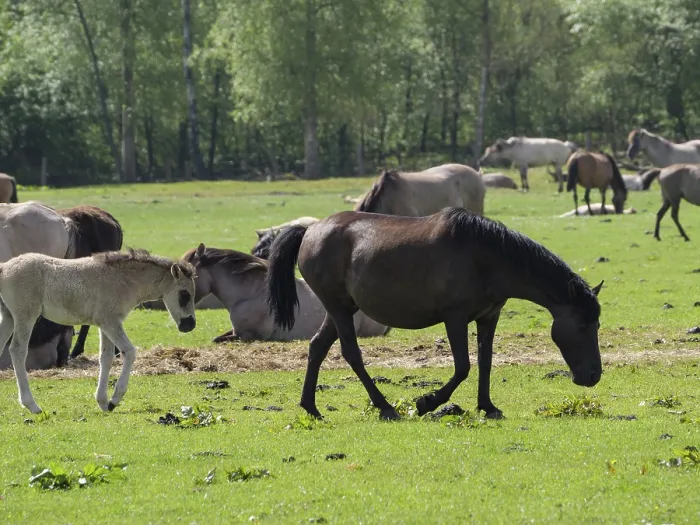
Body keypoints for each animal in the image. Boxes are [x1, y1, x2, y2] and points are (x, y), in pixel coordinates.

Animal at [0, 247, 197, 414]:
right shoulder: (111, 322)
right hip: (25, 316)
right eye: (185, 294)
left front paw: (103, 402)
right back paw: (32, 405)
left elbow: (106, 357)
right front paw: (114, 400)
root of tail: (4, 268)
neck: (124, 280)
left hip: (9, 318)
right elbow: (129, 352)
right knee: (17, 350)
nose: (190, 325)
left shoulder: (104, 325)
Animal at [265, 208, 603, 421]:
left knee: (317, 348)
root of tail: (311, 229)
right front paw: (427, 402)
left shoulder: (488, 317)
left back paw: (311, 407)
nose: (593, 376)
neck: (486, 256)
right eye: (583, 325)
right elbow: (463, 366)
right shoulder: (455, 318)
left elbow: (485, 362)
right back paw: (385, 407)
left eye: (596, 323)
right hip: (337, 308)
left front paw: (487, 406)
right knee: (351, 354)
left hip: (342, 309)